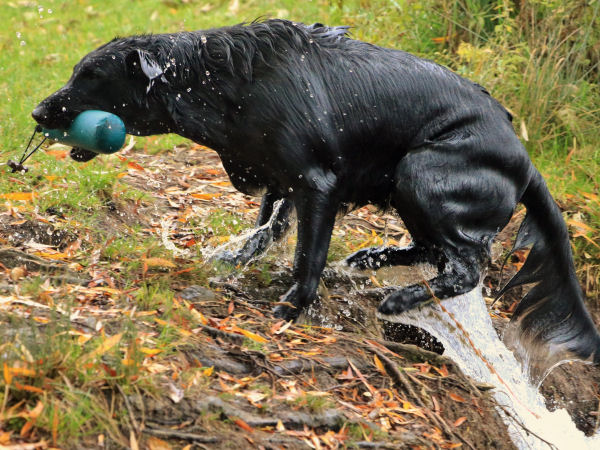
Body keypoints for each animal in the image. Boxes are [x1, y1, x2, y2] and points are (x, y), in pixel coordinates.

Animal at [32, 19, 600, 366]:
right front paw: (228, 261)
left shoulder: (316, 184)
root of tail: (526, 158)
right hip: (406, 187)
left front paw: (291, 307)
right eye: (77, 70)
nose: (38, 111)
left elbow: (308, 256)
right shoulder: (277, 179)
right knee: (435, 251)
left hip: (422, 171)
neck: (222, 82)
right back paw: (370, 258)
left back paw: (398, 297)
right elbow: (263, 232)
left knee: (466, 267)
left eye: (91, 75)